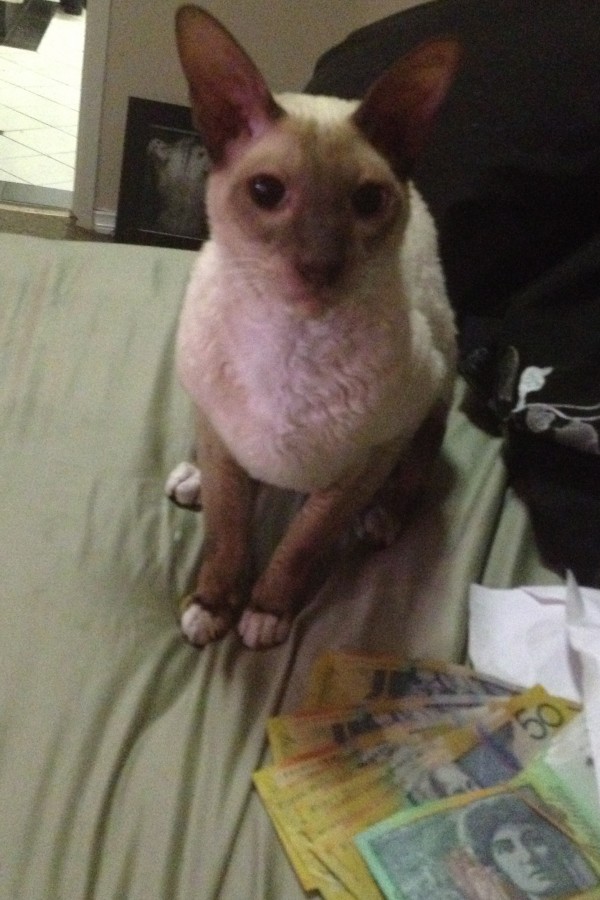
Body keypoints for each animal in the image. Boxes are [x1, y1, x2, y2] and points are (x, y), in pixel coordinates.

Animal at [166, 5, 461, 650]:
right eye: (266, 192)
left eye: (368, 202)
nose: (320, 268)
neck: (289, 341)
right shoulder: (222, 439)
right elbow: (227, 530)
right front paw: (213, 605)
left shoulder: (365, 462)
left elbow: (302, 545)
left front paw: (266, 612)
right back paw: (192, 479)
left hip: (438, 383)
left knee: (416, 468)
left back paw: (382, 519)